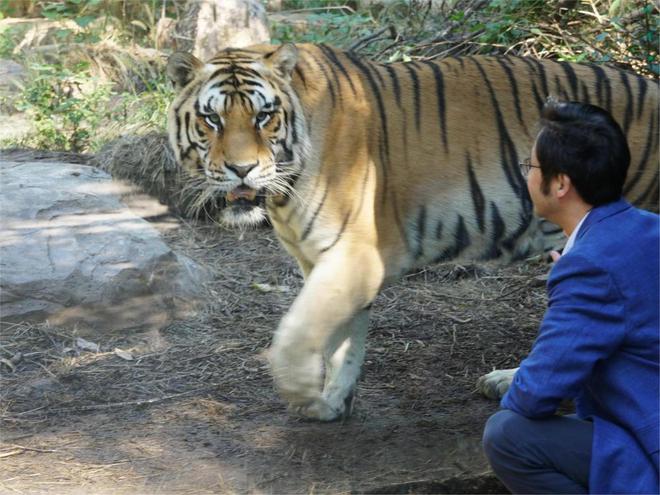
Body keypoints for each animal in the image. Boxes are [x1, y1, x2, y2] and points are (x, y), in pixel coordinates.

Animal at [166, 43, 660, 422]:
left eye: (264, 116)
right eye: (212, 120)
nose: (242, 169)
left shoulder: (354, 256)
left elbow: (296, 332)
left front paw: (302, 391)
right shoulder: (323, 261)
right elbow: (340, 341)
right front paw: (331, 403)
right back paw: (505, 381)